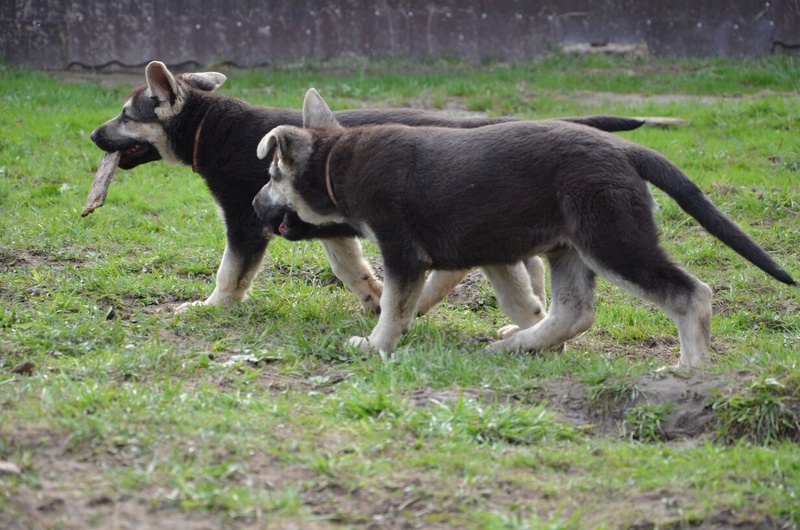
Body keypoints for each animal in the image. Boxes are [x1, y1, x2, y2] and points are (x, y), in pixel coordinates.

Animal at [89, 62, 648, 318]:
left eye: (125, 115)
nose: (92, 136)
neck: (211, 127)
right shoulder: (321, 222)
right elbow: (348, 265)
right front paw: (372, 295)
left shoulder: (247, 225)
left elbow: (231, 272)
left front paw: (211, 306)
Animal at [253, 88, 792, 370]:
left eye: (272, 175)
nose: (255, 205)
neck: (337, 164)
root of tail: (625, 150)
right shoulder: (493, 252)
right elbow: (516, 294)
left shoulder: (402, 252)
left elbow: (395, 307)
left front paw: (375, 346)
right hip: (570, 249)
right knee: (574, 312)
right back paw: (517, 343)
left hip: (612, 240)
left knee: (691, 294)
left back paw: (689, 370)